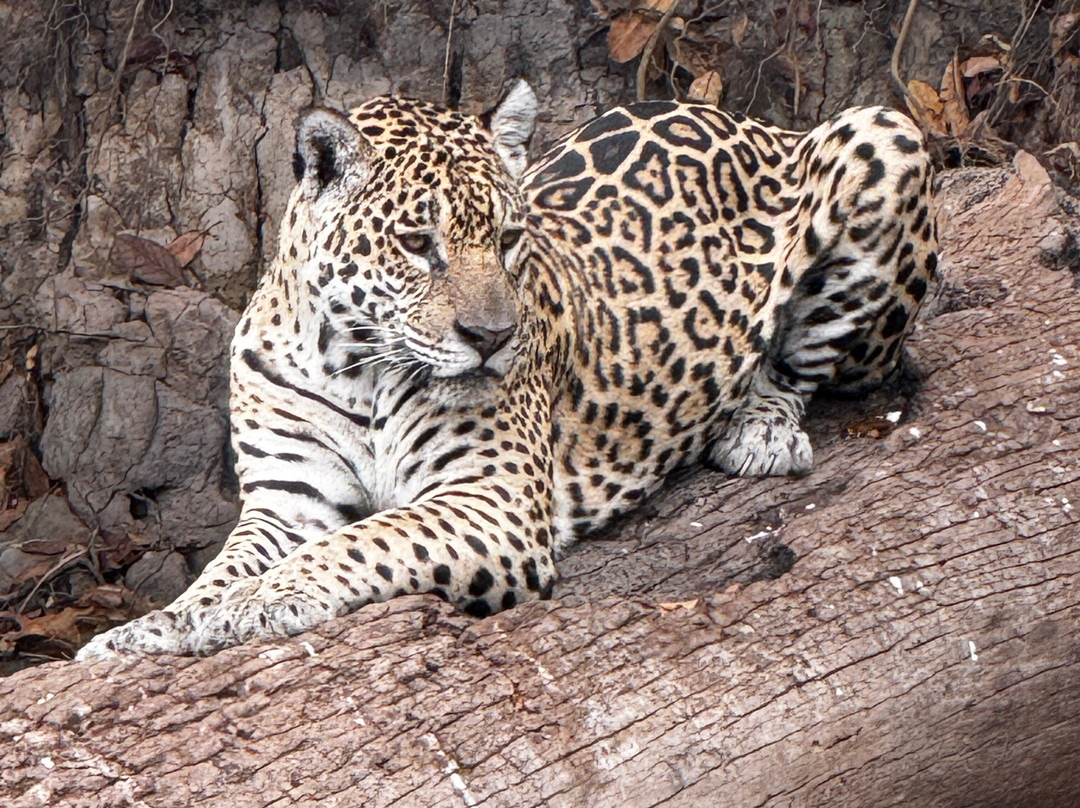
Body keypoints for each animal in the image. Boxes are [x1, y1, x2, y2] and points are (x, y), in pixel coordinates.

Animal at [78, 80, 936, 658]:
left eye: (510, 237)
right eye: (417, 243)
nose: (492, 337)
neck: (353, 361)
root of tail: (749, 118)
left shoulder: (490, 501)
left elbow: (362, 540)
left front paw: (270, 597)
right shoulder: (288, 500)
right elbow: (220, 571)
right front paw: (157, 626)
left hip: (884, 134)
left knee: (811, 364)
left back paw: (760, 426)